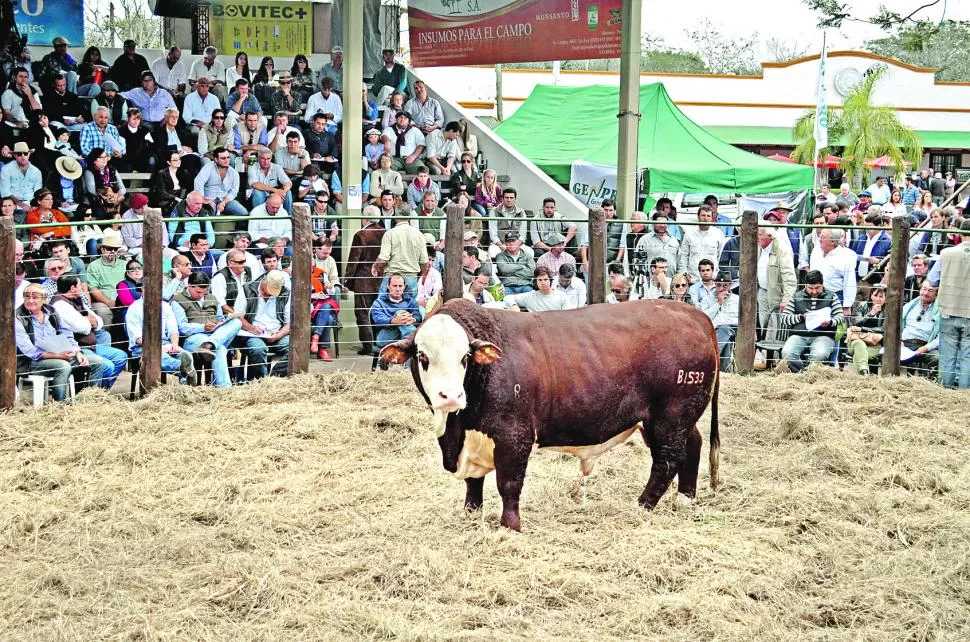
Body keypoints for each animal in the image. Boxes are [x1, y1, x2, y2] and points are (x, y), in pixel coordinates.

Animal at [378, 298, 720, 528]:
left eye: (465, 357)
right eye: (422, 356)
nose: (450, 396)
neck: (456, 428)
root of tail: (693, 313)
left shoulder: (514, 437)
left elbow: (509, 483)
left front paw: (509, 527)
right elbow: (473, 483)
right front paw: (470, 513)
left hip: (670, 417)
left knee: (668, 460)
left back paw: (642, 506)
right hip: (673, 420)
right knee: (693, 444)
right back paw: (685, 499)